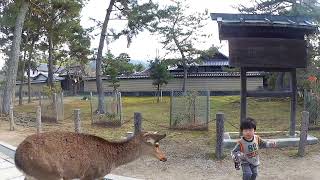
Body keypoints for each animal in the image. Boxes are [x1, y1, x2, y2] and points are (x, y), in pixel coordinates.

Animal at [14, 131, 168, 180]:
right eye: (156, 145)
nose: (164, 158)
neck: (112, 160)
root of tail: (17, 157)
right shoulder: (89, 174)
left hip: (33, 176)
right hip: (50, 174)